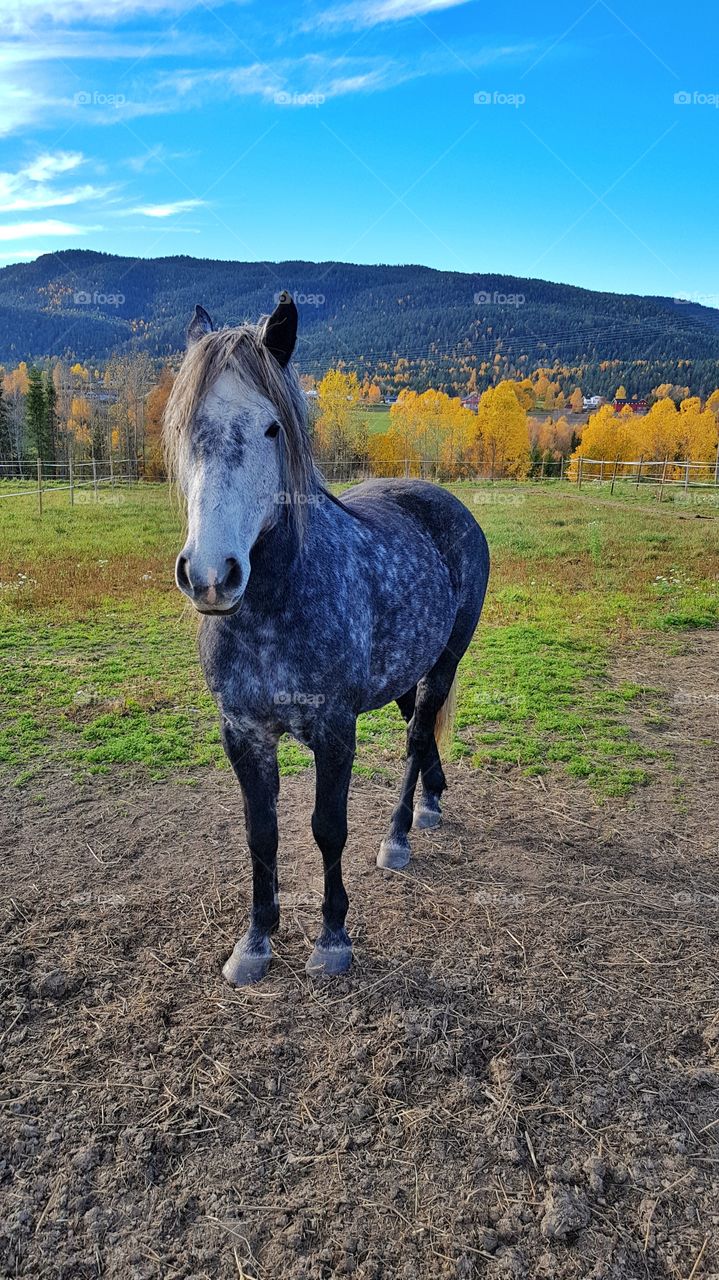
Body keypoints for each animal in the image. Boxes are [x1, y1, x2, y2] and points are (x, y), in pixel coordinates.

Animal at [164, 292, 490, 985]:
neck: (271, 615)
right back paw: (432, 801)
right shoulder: (242, 733)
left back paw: (399, 834)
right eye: (183, 428)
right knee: (420, 730)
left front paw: (333, 938)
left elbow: (326, 828)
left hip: (445, 660)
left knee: (418, 732)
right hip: (405, 670)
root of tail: (446, 502)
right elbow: (261, 832)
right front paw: (256, 940)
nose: (210, 575)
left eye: (272, 428)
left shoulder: (336, 730)